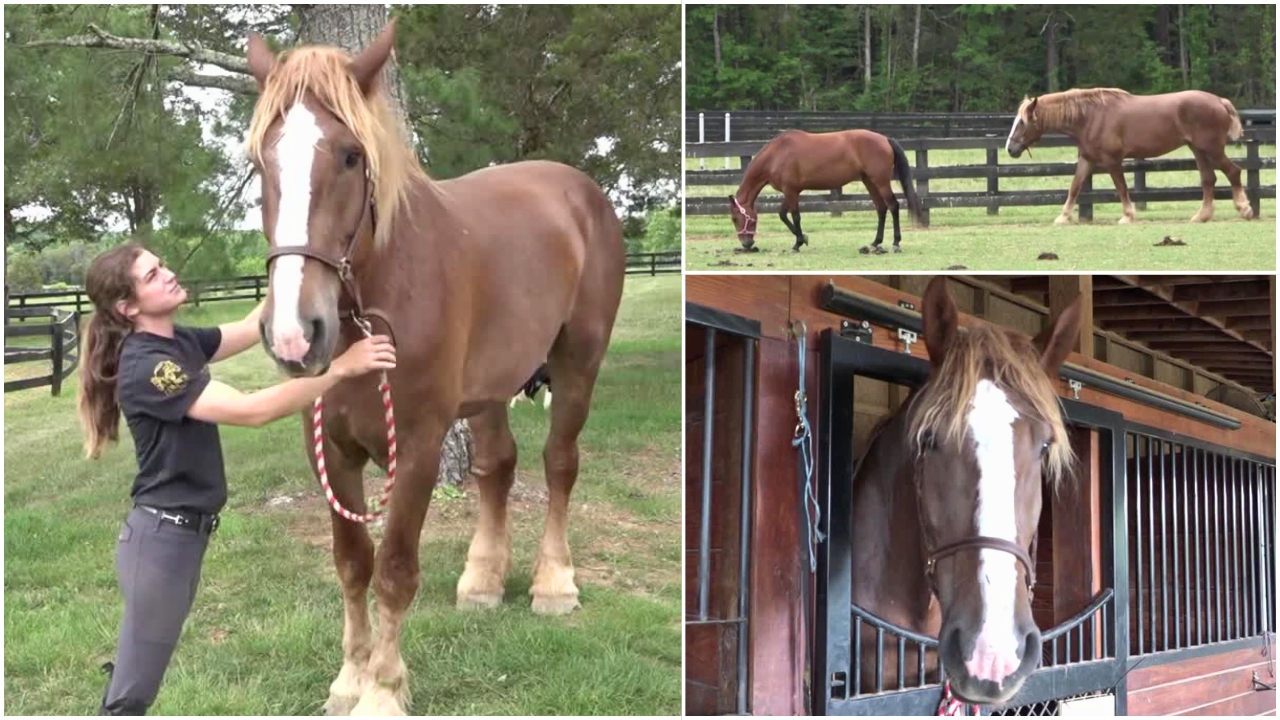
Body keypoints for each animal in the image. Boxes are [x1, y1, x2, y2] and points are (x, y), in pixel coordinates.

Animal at [244, 22, 624, 715]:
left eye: (351, 156)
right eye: (260, 162)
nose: (293, 332)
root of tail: (577, 190)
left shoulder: (418, 444)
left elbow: (394, 570)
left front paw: (383, 690)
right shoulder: (330, 448)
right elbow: (352, 562)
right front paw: (349, 679)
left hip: (579, 363)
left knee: (559, 463)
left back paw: (554, 583)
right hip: (492, 388)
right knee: (498, 466)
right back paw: (483, 580)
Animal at [727, 129, 925, 255]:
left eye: (735, 218)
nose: (746, 243)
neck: (777, 155)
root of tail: (885, 139)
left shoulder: (790, 191)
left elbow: (795, 216)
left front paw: (798, 243)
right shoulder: (791, 191)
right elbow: (783, 214)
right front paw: (803, 238)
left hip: (880, 181)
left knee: (893, 206)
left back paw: (896, 243)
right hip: (869, 181)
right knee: (881, 208)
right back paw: (876, 243)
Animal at [1005, 88, 1254, 225]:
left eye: (1023, 123)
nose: (1010, 149)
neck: (1091, 116)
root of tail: (1219, 100)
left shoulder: (1112, 161)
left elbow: (1121, 188)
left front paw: (1127, 216)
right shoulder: (1087, 160)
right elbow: (1074, 187)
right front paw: (1063, 217)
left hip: (1212, 149)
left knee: (1233, 171)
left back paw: (1245, 209)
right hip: (1198, 150)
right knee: (1208, 179)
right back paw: (1202, 216)